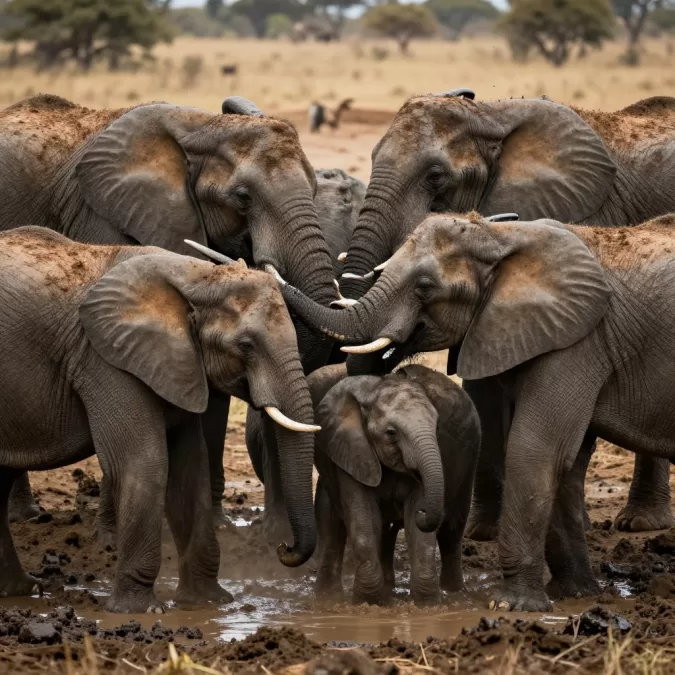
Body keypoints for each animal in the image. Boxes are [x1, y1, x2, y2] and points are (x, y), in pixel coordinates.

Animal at [0, 93, 338, 527]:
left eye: (314, 187)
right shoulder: (104, 212)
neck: (200, 126)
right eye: (243, 197)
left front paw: (216, 522)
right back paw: (28, 517)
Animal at [0, 226, 319, 612]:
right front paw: (141, 610)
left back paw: (20, 589)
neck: (195, 276)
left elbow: (189, 469)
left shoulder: (177, 364)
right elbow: (145, 462)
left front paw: (211, 603)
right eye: (246, 345)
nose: (284, 548)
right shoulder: (104, 359)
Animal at [309, 364, 480, 605]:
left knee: (452, 530)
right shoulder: (351, 451)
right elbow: (363, 518)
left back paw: (455, 594)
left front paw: (427, 605)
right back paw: (328, 597)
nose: (423, 513)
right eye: (391, 433)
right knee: (333, 524)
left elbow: (418, 528)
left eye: (437, 427)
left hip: (470, 458)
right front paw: (369, 602)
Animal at [337, 91, 675, 538]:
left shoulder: (588, 216)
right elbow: (485, 385)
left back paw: (640, 523)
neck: (491, 115)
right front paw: (482, 532)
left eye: (435, 177)